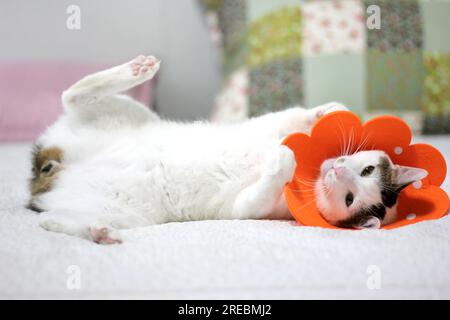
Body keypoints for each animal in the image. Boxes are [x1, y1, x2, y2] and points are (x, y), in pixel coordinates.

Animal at [27, 55, 426, 245]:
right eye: (366, 170)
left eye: (349, 198)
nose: (337, 171)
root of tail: (50, 172)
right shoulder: (266, 125)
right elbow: (290, 117)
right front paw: (326, 112)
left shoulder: (250, 208)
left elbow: (261, 189)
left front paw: (283, 160)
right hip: (121, 115)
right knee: (74, 93)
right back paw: (137, 69)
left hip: (125, 212)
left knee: (49, 220)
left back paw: (99, 232)